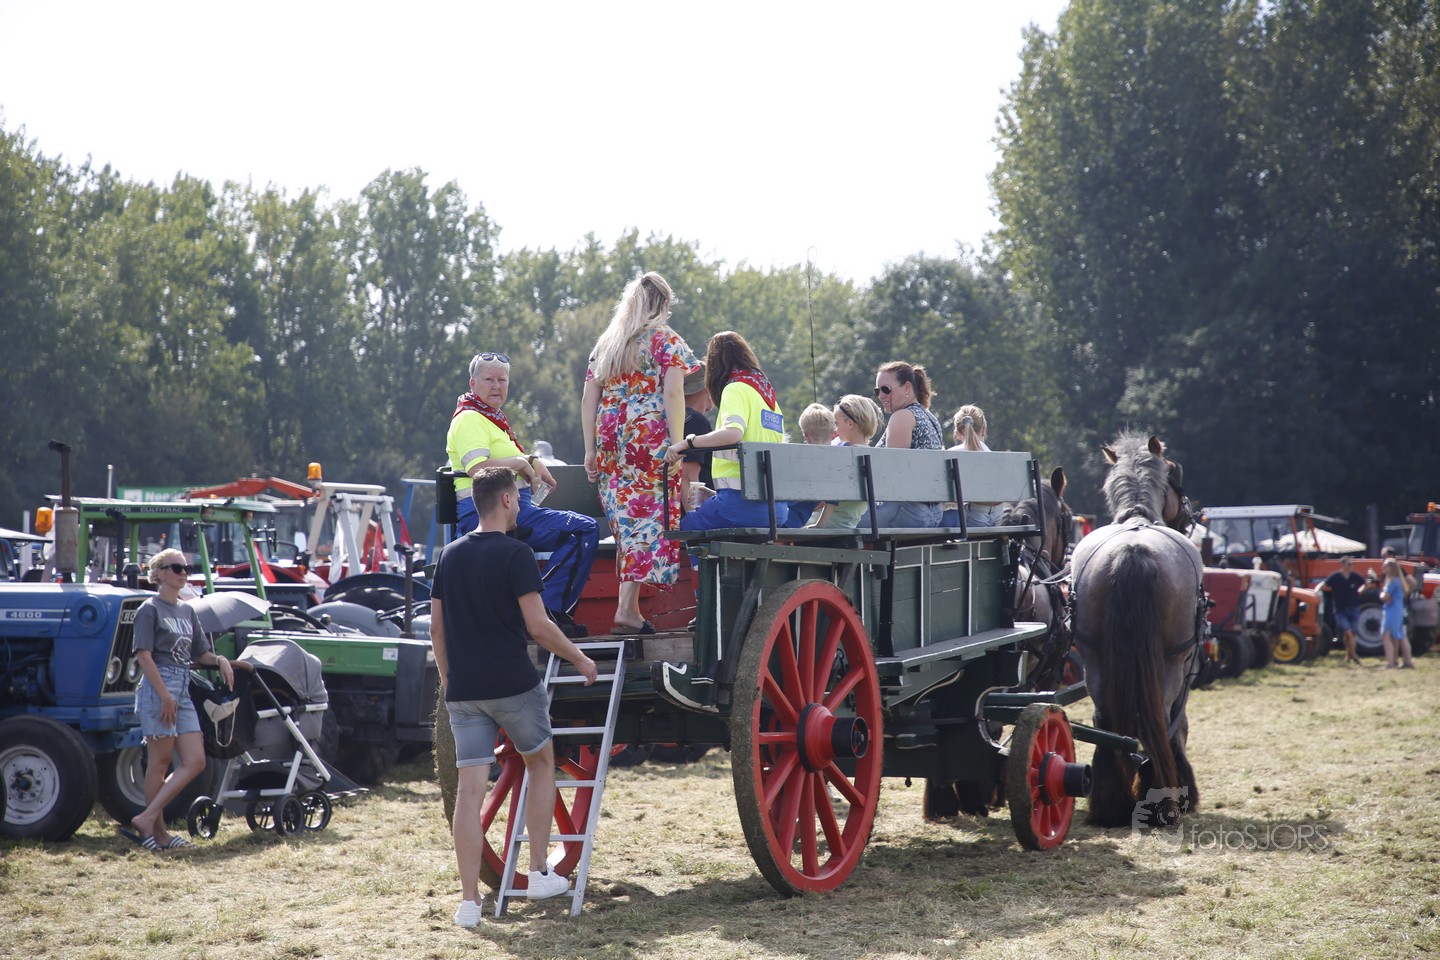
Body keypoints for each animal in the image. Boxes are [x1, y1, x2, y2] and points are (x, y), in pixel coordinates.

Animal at [1070, 433, 1205, 828]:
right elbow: (1179, 722)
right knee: (1162, 717)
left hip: (1094, 659)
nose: (1190, 514)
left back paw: (1109, 801)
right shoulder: (1188, 665)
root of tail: (1133, 550)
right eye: (1175, 473)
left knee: (1105, 719)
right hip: (1173, 662)